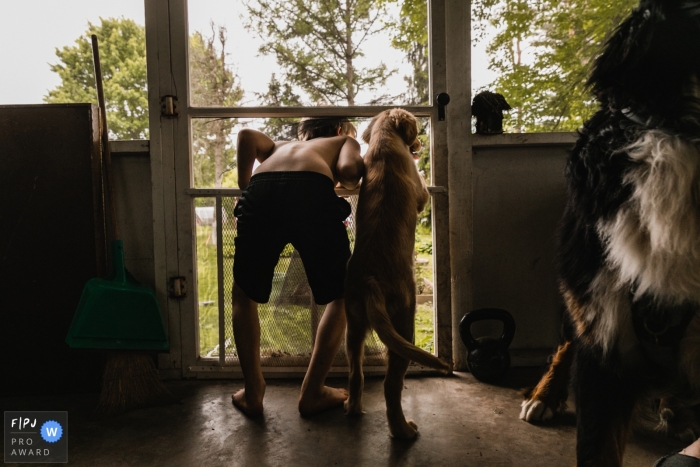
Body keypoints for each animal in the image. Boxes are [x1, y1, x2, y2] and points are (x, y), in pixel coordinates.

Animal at [344, 109, 448, 438]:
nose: (420, 143)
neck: (384, 142)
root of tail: (370, 280)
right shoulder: (420, 196)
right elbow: (423, 188)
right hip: (404, 323)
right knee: (391, 384)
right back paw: (403, 430)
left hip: (354, 324)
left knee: (356, 373)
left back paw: (353, 407)